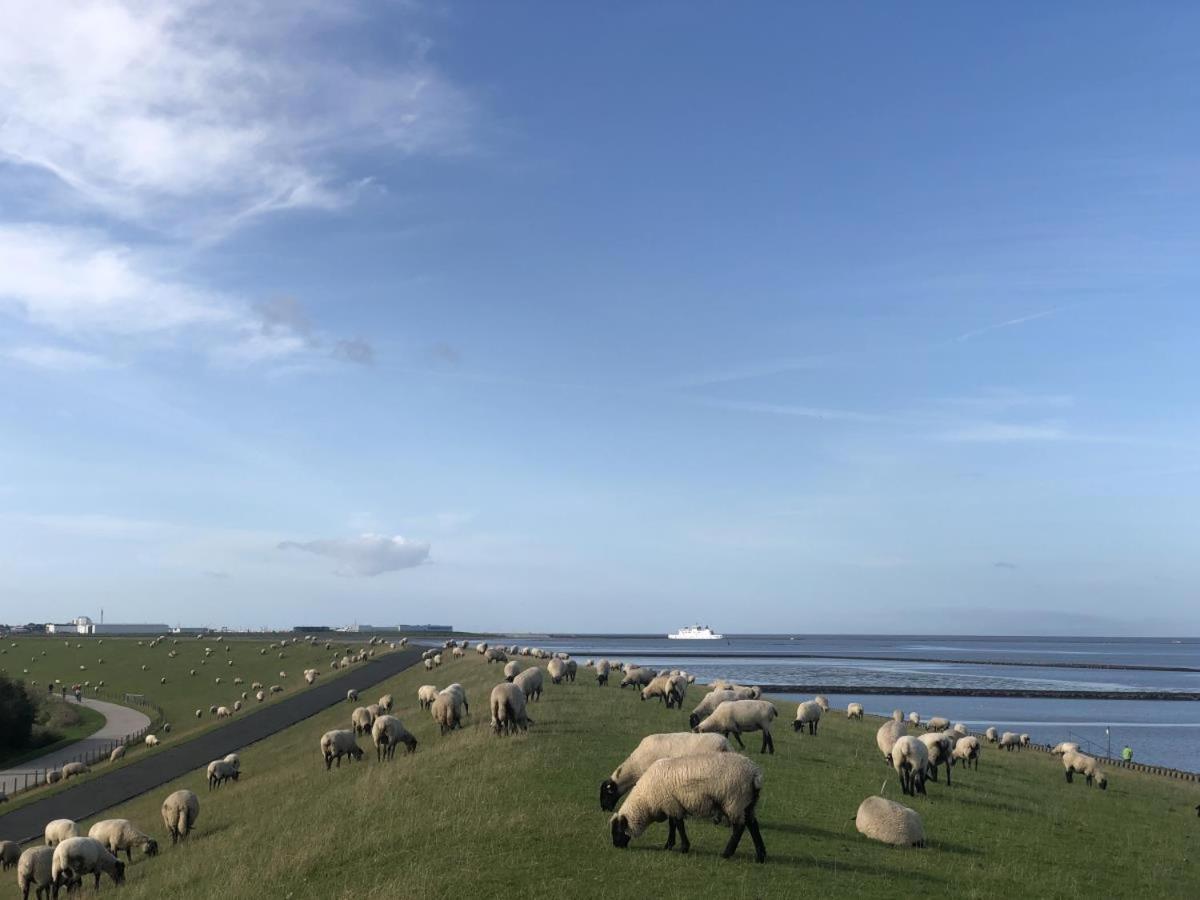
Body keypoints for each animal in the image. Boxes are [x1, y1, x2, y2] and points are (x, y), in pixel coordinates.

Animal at [609, 748, 768, 864]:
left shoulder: (670, 803)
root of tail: (754, 773)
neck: (646, 801)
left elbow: (678, 824)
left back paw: (727, 853)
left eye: (617, 830)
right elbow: (672, 824)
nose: (616, 845)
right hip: (748, 802)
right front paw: (669, 845)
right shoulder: (671, 804)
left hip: (734, 800)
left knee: (739, 828)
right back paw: (761, 856)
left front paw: (683, 847)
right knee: (753, 824)